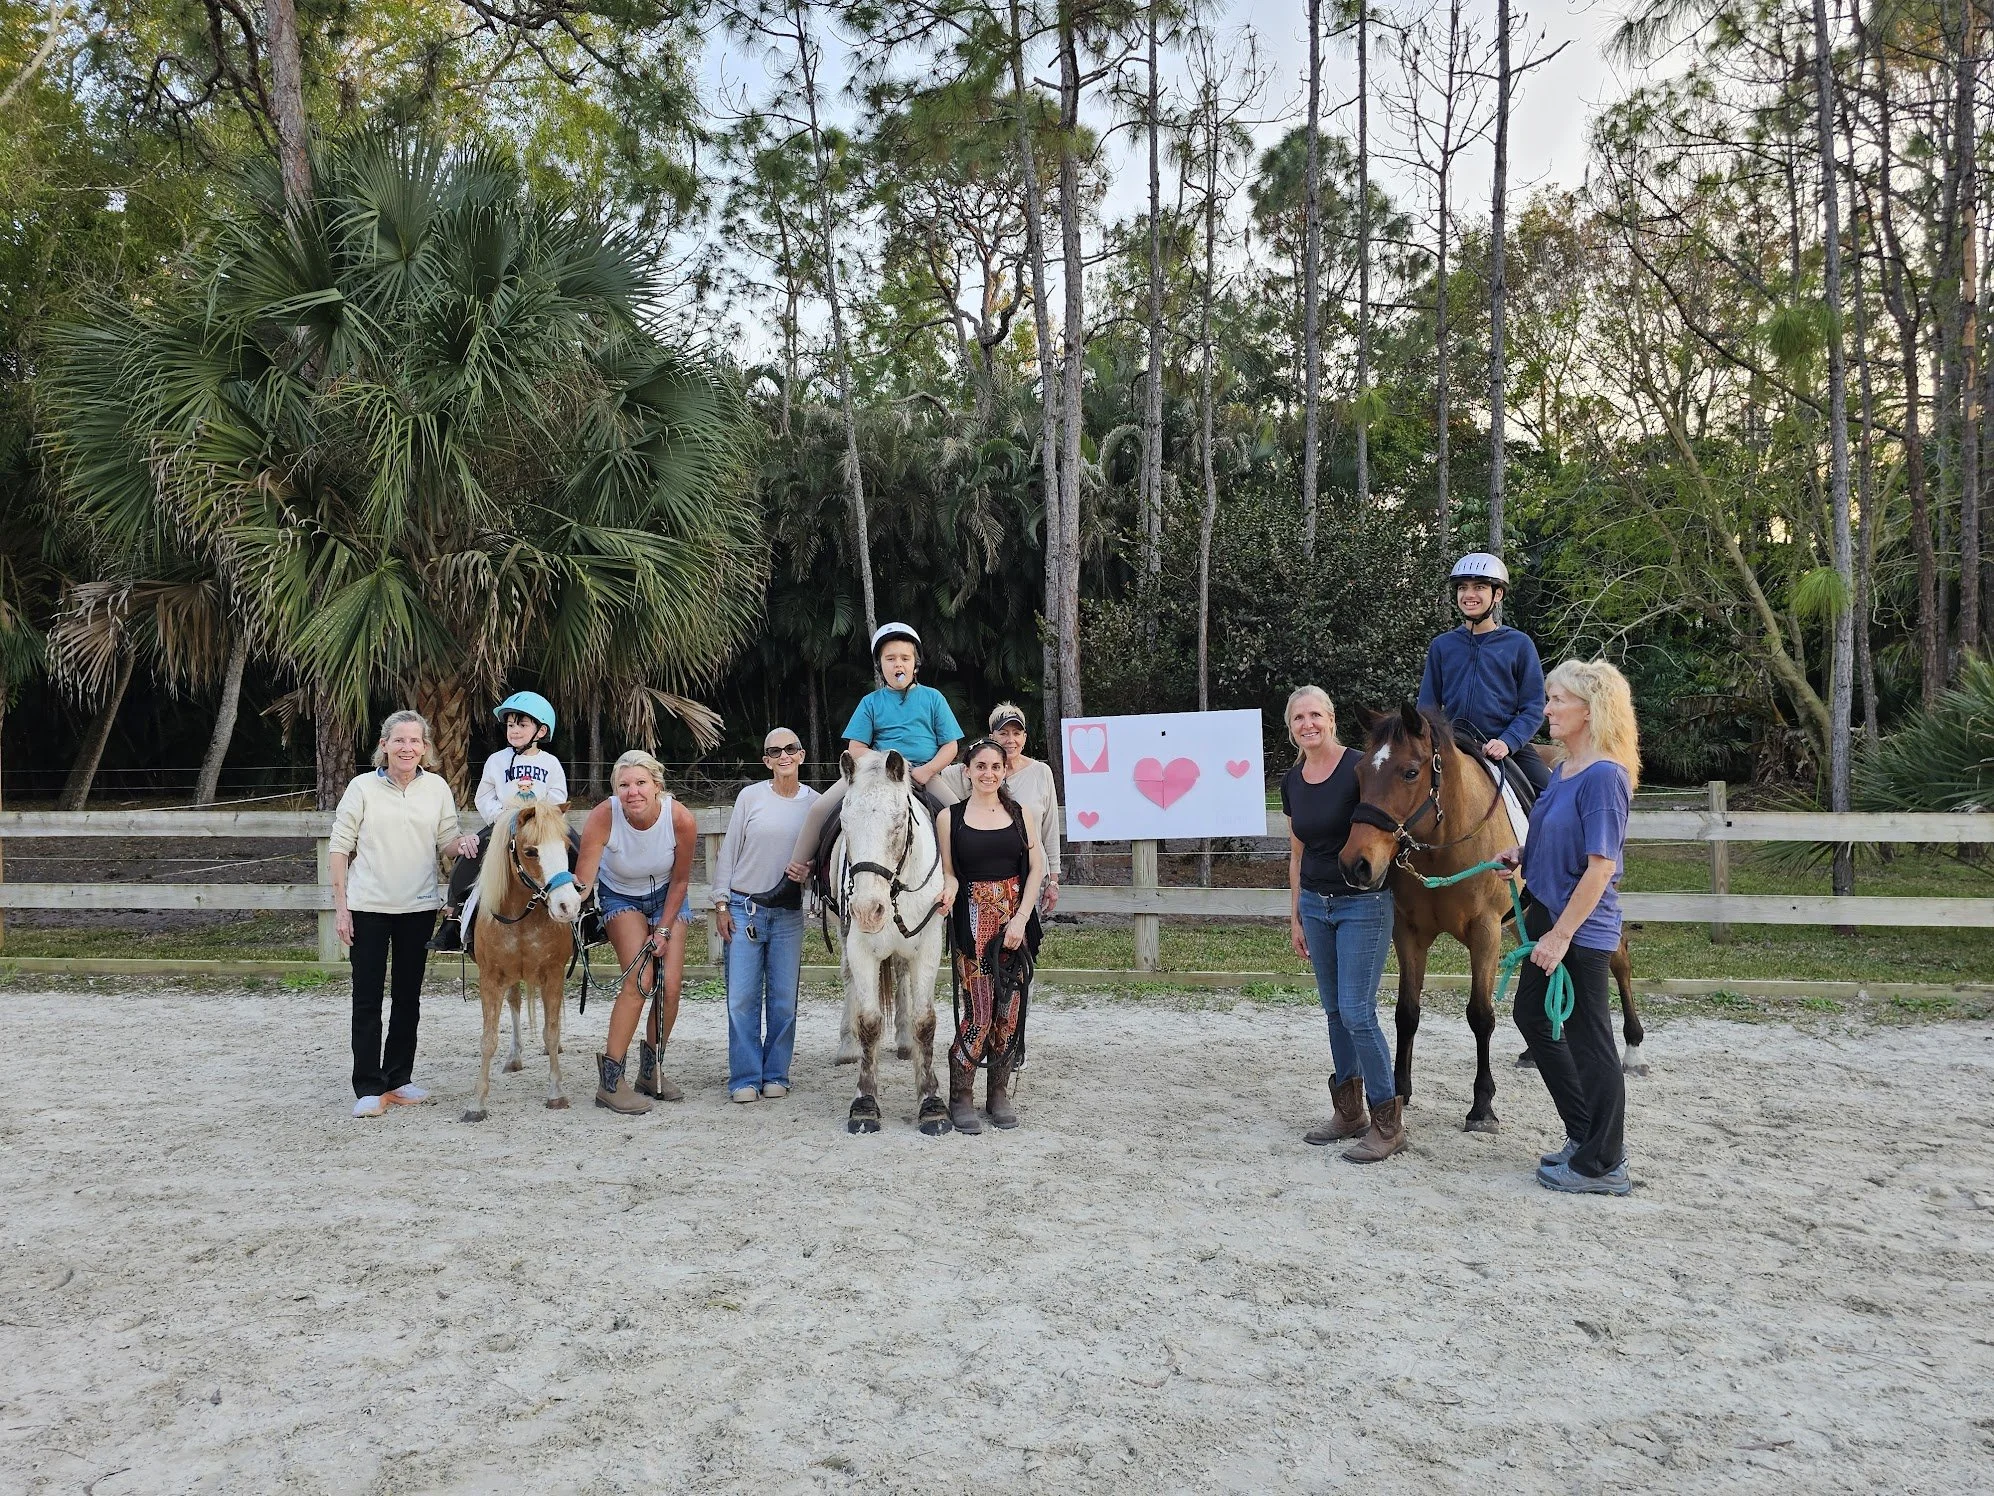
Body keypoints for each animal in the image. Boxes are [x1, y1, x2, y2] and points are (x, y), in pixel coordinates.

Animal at [460, 795, 585, 1122]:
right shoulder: (490, 978)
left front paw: (556, 1093)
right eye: (530, 852)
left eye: (566, 847)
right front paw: (476, 1103)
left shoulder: (553, 973)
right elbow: (488, 1039)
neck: (521, 917)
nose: (568, 905)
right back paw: (514, 1056)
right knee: (514, 1002)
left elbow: (551, 1032)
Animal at [829, 749, 951, 1136]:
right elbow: (869, 1022)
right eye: (845, 824)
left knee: (901, 976)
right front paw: (865, 1104)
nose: (869, 910)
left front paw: (931, 1103)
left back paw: (904, 1042)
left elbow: (924, 1021)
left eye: (898, 824)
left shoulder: (927, 946)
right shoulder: (860, 949)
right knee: (850, 983)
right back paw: (847, 1045)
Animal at [1336, 704, 1645, 1135]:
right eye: (1361, 772)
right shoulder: (1409, 933)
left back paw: (1632, 1048)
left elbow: (1480, 1016)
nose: (1355, 864)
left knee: (1620, 958)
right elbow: (1406, 1013)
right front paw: (1400, 1091)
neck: (1447, 843)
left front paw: (1482, 1105)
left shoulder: (1484, 934)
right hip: (1524, 917)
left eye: (1410, 772)